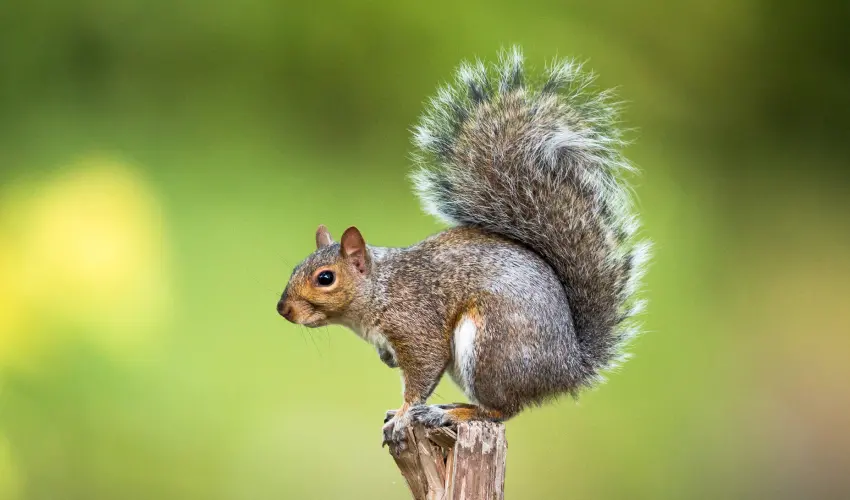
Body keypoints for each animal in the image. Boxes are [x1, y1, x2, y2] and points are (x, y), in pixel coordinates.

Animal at [277, 47, 650, 449]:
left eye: (325, 278)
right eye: (296, 268)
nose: (283, 309)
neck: (380, 290)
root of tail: (567, 369)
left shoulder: (417, 324)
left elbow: (422, 373)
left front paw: (403, 415)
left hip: (491, 348)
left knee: (501, 410)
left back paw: (449, 413)